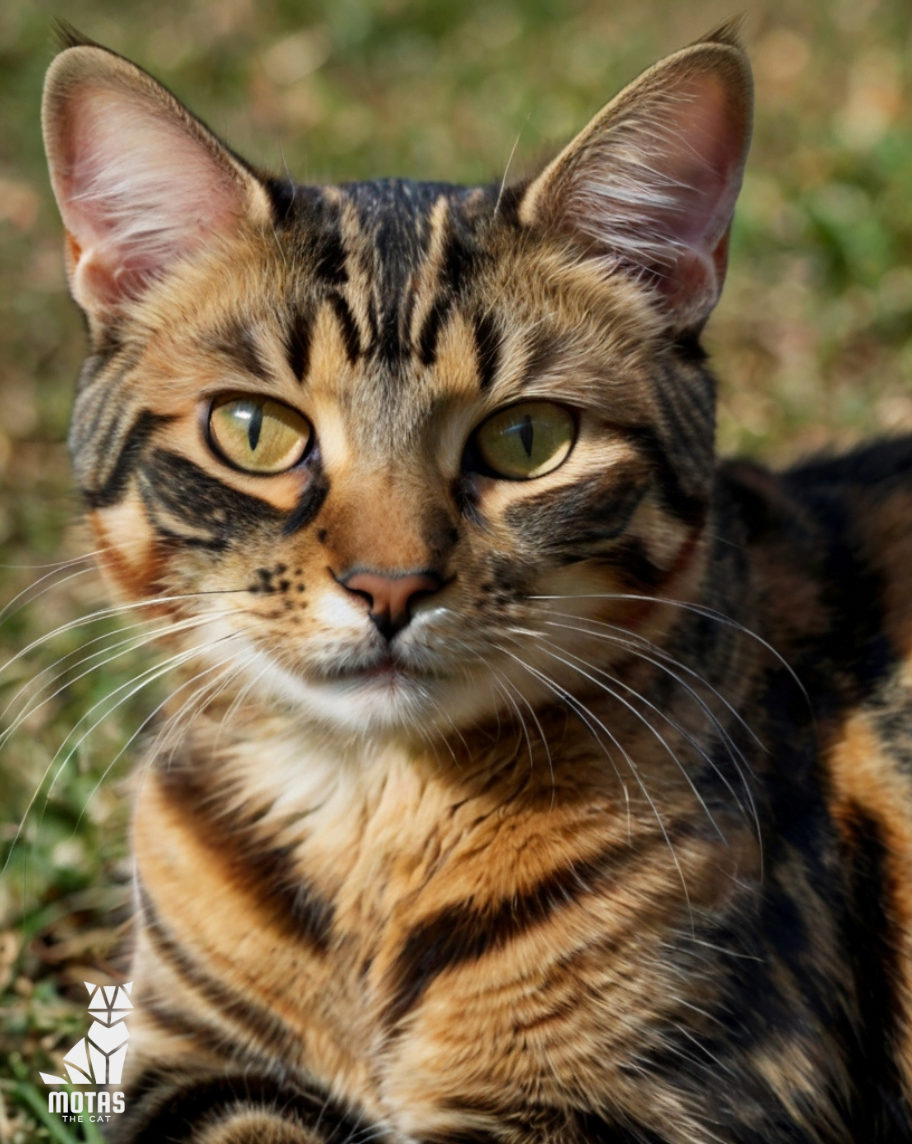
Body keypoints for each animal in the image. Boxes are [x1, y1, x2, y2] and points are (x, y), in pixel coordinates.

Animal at [39, 22, 910, 1144]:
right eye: (254, 429)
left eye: (527, 439)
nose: (389, 585)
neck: (373, 817)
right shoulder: (199, 1061)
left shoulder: (686, 1093)